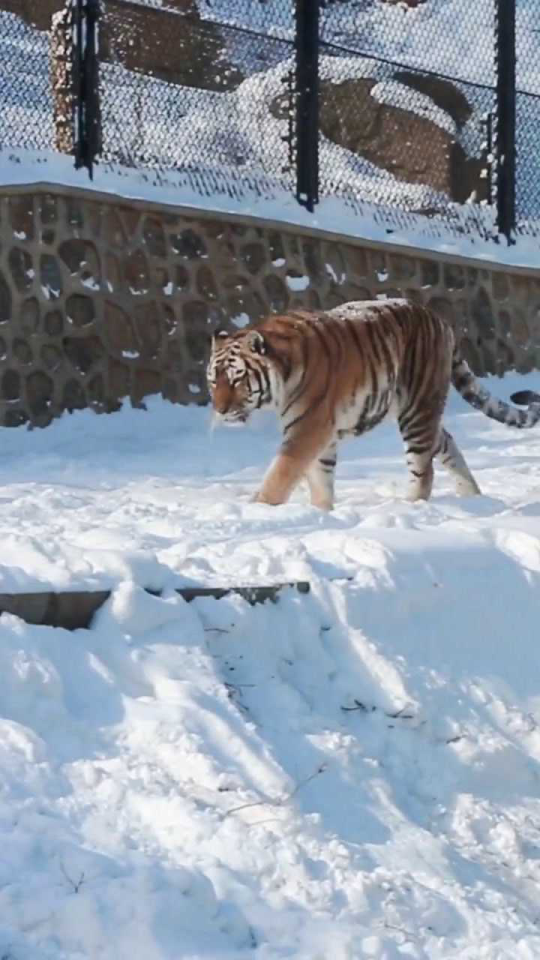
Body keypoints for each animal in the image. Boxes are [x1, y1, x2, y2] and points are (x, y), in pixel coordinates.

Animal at [206, 298, 540, 510]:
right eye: (213, 381)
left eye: (236, 379)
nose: (220, 411)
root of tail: (440, 319)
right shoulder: (320, 434)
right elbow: (320, 479)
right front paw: (322, 512)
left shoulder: (307, 429)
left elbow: (280, 475)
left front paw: (258, 510)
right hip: (424, 412)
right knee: (446, 443)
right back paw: (472, 496)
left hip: (416, 410)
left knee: (424, 469)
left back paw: (411, 507)